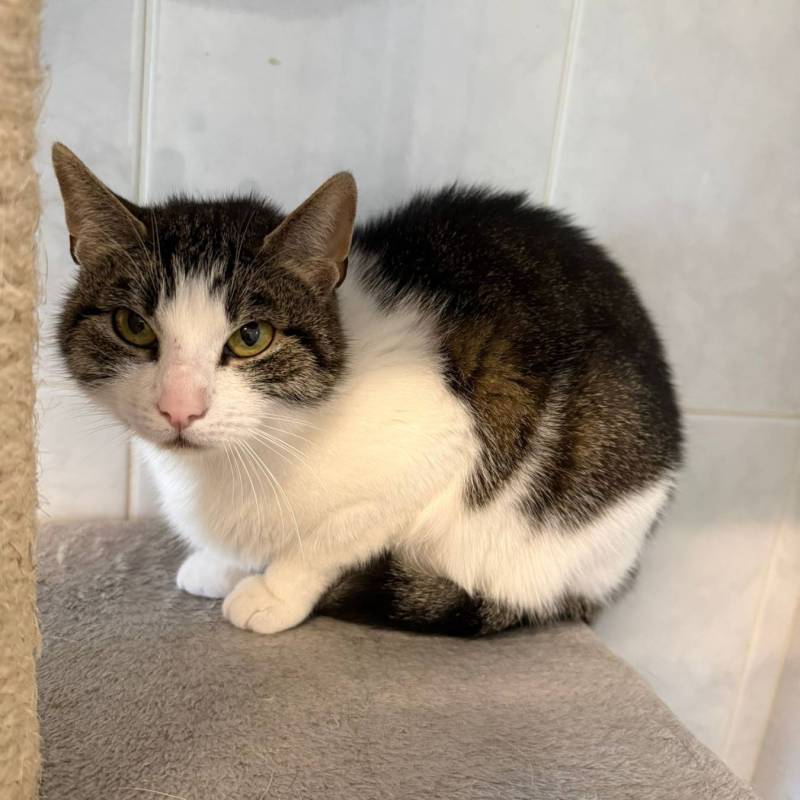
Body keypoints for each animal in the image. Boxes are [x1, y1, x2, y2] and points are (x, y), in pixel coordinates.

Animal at [52, 142, 682, 636]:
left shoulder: (442, 448)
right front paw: (222, 563)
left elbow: (330, 539)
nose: (180, 407)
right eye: (134, 327)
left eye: (251, 337)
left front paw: (274, 591)